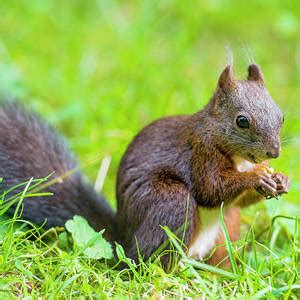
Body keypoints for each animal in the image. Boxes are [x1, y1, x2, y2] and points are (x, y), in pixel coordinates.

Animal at [0, 63, 290, 268]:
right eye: (242, 121)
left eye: (282, 116)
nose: (274, 152)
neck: (241, 159)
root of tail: (123, 239)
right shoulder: (200, 153)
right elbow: (210, 189)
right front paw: (256, 178)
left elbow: (240, 200)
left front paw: (281, 179)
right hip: (170, 203)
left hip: (226, 227)